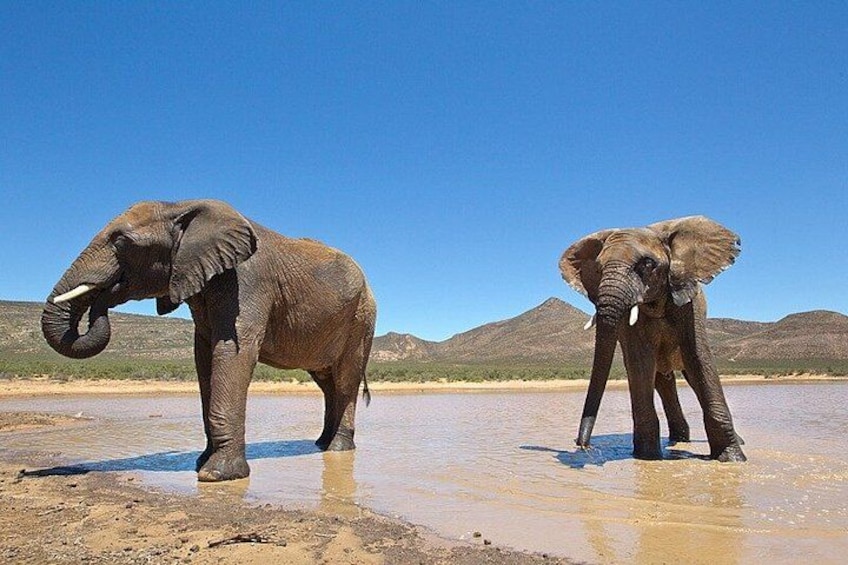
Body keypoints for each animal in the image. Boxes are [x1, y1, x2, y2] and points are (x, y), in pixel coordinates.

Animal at [42, 199, 377, 481]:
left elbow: (231, 352)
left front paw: (216, 475)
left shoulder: (247, 282)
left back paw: (337, 449)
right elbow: (203, 359)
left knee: (344, 380)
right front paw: (201, 463)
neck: (180, 206)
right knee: (327, 382)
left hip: (361, 319)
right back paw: (321, 443)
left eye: (121, 242)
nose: (103, 296)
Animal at [559, 216, 746, 462]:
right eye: (598, 269)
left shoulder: (689, 303)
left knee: (691, 378)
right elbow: (640, 362)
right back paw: (678, 439)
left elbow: (698, 358)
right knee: (663, 382)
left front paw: (732, 459)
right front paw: (647, 457)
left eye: (647, 264)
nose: (582, 445)